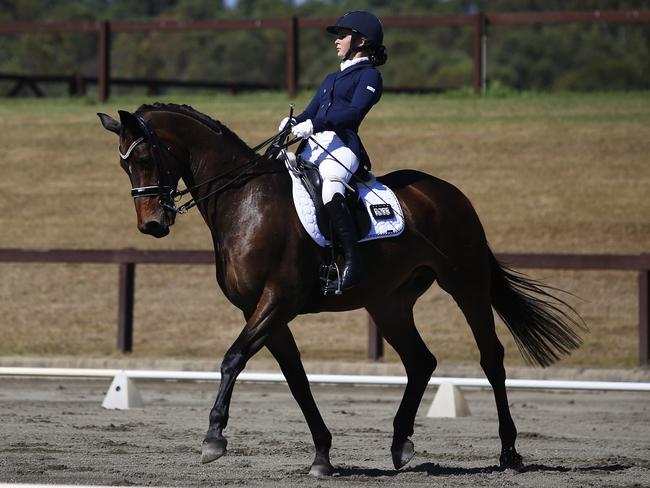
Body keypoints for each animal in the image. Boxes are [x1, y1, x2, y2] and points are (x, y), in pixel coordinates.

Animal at [97, 104, 584, 476]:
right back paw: (400, 445)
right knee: (420, 361)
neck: (244, 200)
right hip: (388, 303)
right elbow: (296, 380)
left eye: (145, 158)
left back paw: (509, 452)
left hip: (465, 284)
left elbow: (232, 359)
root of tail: (450, 192)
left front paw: (214, 437)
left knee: (491, 358)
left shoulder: (277, 301)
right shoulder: (262, 311)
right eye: (122, 164)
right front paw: (322, 456)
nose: (152, 224)